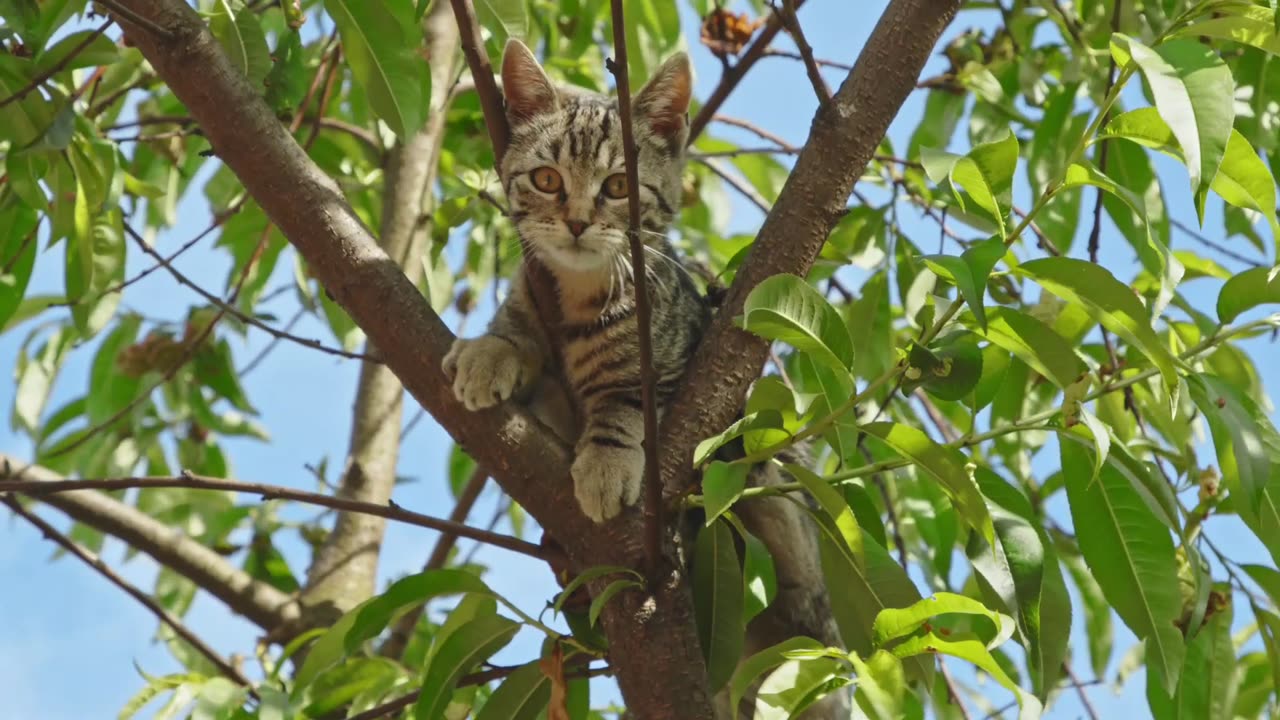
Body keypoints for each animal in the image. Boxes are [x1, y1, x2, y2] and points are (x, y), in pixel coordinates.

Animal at [437, 40, 701, 520]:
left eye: (618, 187)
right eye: (546, 179)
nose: (578, 222)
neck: (579, 290)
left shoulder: (675, 360)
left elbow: (627, 397)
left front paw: (607, 459)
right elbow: (518, 328)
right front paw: (492, 348)